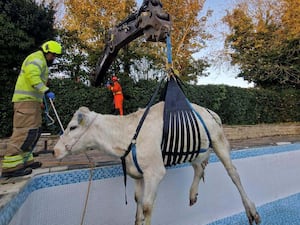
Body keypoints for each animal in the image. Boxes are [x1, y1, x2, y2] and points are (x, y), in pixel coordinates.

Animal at [55, 102, 262, 225]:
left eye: (72, 127)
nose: (55, 150)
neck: (126, 136)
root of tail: (209, 111)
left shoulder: (155, 172)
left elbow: (147, 206)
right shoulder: (137, 173)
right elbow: (138, 202)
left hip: (218, 140)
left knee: (233, 172)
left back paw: (251, 211)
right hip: (195, 149)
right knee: (199, 167)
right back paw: (192, 194)